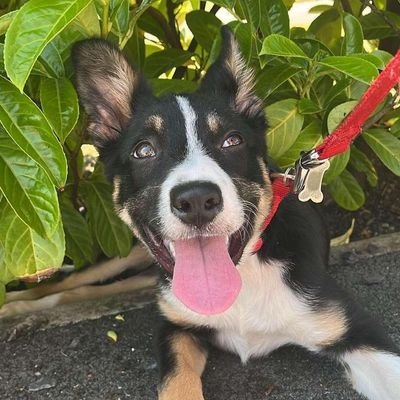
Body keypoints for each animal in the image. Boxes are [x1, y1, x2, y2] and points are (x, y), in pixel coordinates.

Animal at [72, 27, 400, 400]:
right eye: (143, 150)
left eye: (232, 141)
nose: (196, 200)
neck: (245, 274)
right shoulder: (176, 327)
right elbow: (176, 382)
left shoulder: (356, 330)